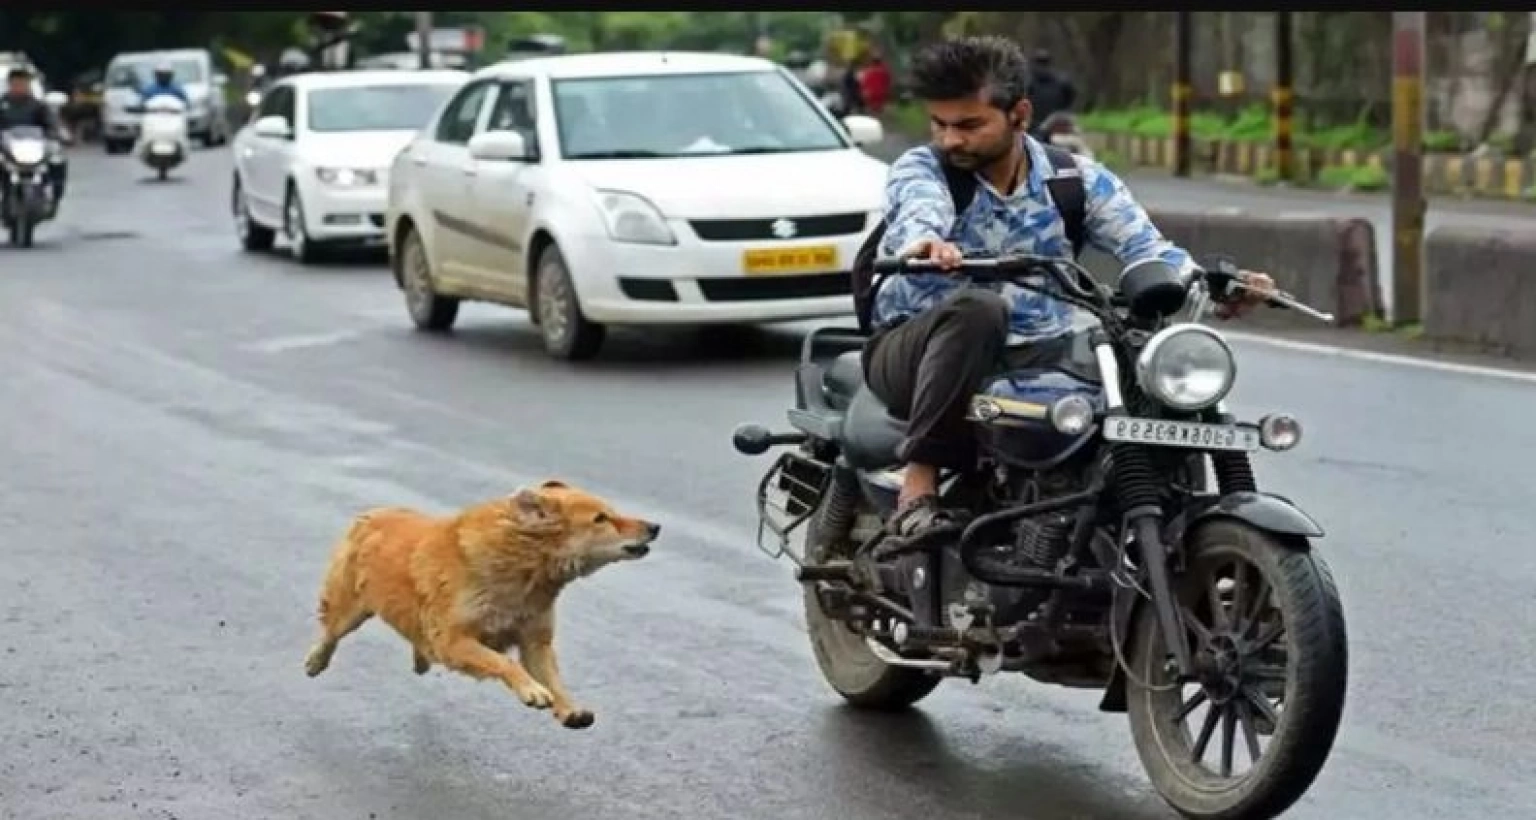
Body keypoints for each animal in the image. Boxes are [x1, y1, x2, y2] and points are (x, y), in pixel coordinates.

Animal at [302, 479, 657, 730]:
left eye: (611, 512)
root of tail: (373, 513)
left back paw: (421, 657)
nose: (656, 527)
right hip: (349, 609)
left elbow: (552, 677)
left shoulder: (535, 640)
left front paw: (569, 708)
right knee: (331, 633)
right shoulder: (455, 639)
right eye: (601, 519)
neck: (525, 567)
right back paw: (316, 661)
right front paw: (531, 690)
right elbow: (504, 662)